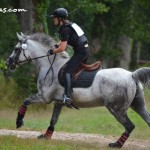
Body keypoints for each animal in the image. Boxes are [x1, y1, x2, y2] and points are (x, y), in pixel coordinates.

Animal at [6, 32, 150, 148]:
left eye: (16, 49)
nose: (8, 63)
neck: (50, 66)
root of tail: (132, 75)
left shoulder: (44, 97)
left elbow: (25, 101)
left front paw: (19, 121)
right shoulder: (58, 102)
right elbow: (53, 120)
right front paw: (46, 136)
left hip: (116, 109)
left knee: (129, 126)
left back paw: (116, 144)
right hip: (138, 105)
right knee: (146, 120)